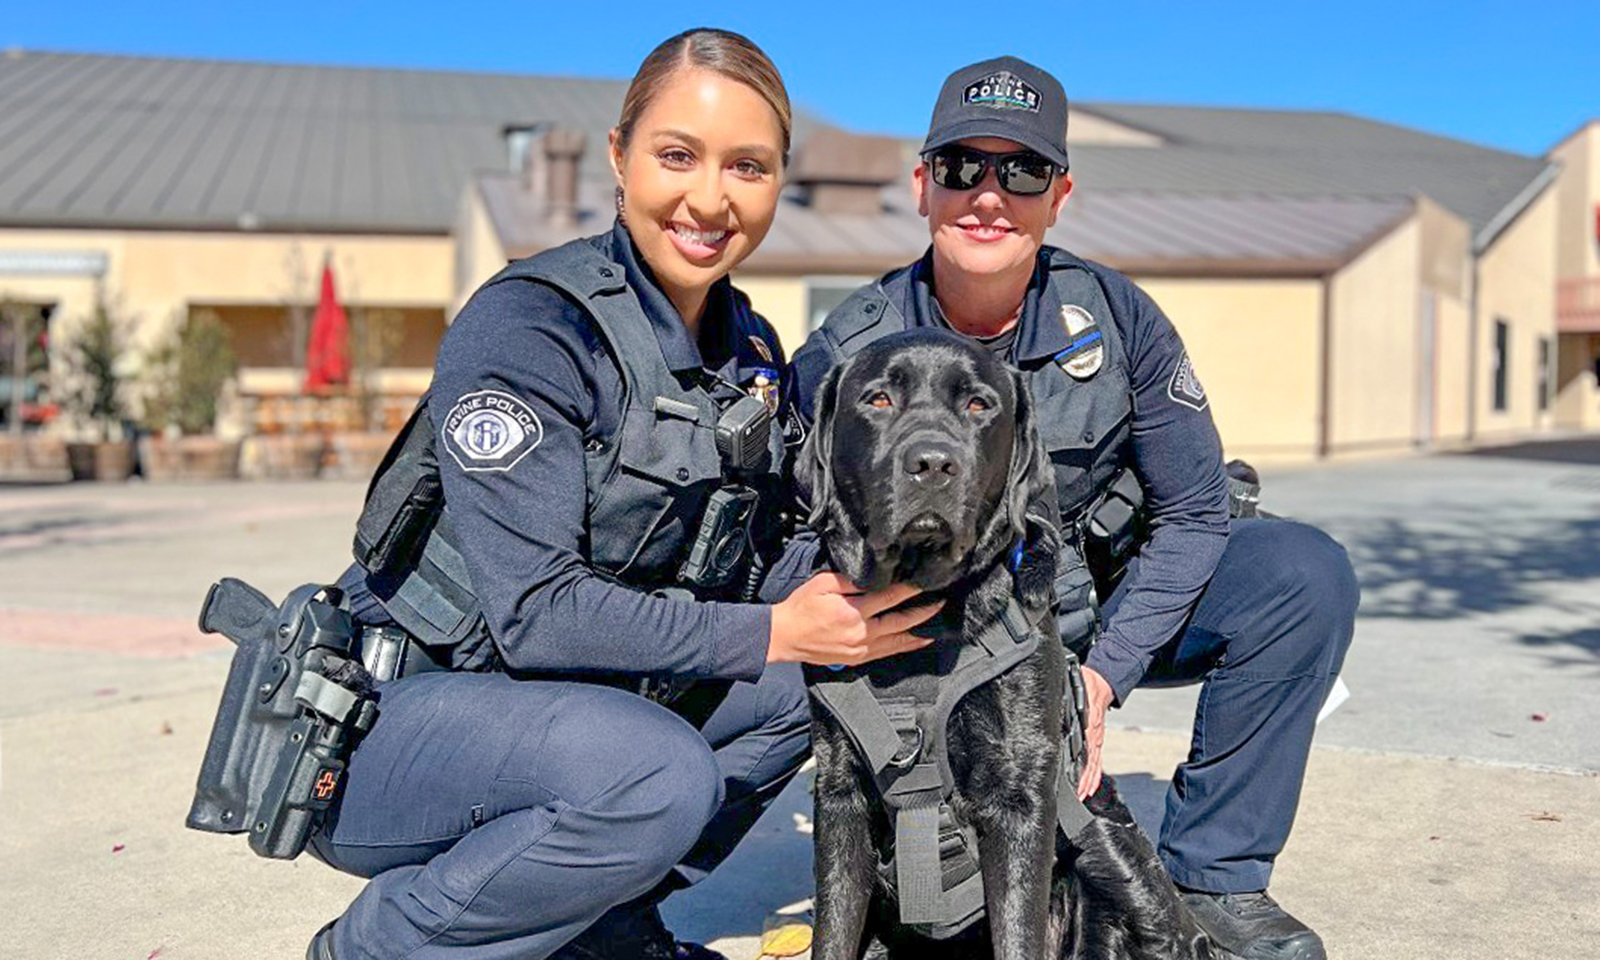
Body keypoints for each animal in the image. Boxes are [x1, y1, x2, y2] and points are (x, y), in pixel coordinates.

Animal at [800, 326, 1209, 953]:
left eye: (978, 405)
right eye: (878, 400)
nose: (932, 463)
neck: (927, 617)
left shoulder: (1021, 792)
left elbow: (1017, 932)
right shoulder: (839, 790)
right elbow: (833, 931)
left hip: (1110, 850)